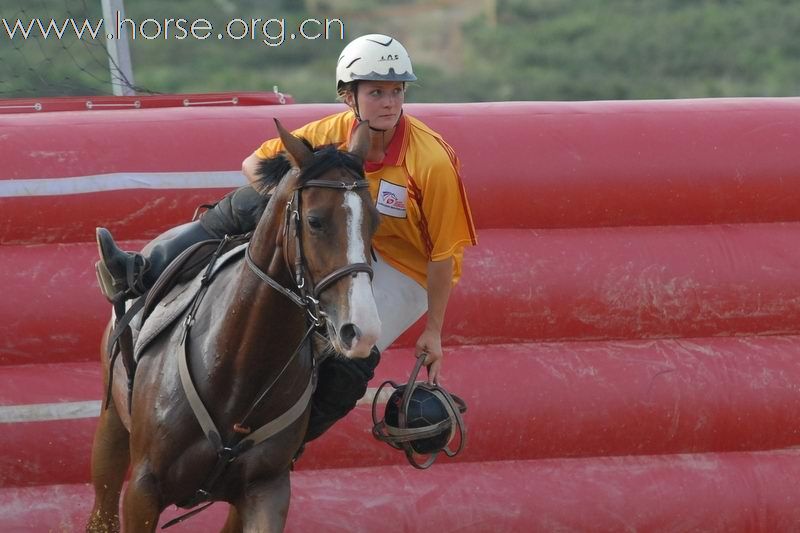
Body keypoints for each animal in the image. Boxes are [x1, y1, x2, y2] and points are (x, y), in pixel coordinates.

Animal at [89, 120, 382, 532]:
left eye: (375, 221)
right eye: (315, 221)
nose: (362, 328)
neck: (240, 368)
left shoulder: (266, 489)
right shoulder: (143, 491)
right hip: (111, 430)